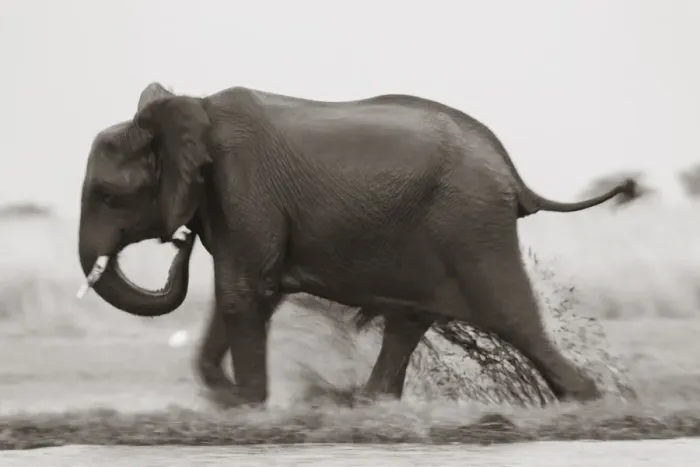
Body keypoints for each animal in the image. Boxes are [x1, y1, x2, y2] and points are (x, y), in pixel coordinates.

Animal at [77, 82, 639, 407]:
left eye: (107, 195)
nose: (180, 241)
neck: (187, 110)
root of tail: (514, 175)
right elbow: (248, 292)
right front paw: (229, 400)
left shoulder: (244, 188)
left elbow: (243, 290)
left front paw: (249, 406)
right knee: (410, 319)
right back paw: (368, 404)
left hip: (471, 223)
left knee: (511, 315)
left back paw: (587, 402)